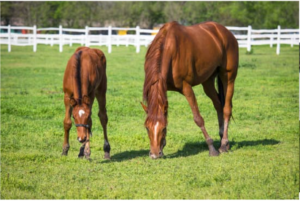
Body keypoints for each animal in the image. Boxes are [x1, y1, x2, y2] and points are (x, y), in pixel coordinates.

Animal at [141, 21, 239, 159]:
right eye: (147, 128)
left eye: (163, 128)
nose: (154, 154)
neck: (169, 48)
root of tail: (225, 31)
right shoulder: (163, 89)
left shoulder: (186, 87)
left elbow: (198, 118)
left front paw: (211, 148)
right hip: (208, 82)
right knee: (219, 105)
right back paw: (223, 140)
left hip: (228, 77)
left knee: (226, 109)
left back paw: (224, 144)